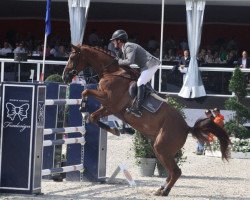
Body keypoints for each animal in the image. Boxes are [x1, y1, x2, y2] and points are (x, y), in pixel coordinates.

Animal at [62, 44, 230, 196]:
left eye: (72, 58)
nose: (65, 77)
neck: (112, 72)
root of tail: (186, 127)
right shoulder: (108, 108)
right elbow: (93, 117)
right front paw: (114, 130)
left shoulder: (110, 101)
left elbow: (86, 91)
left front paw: (84, 107)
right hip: (160, 149)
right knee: (170, 172)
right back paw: (161, 188)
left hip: (162, 148)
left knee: (176, 171)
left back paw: (164, 192)